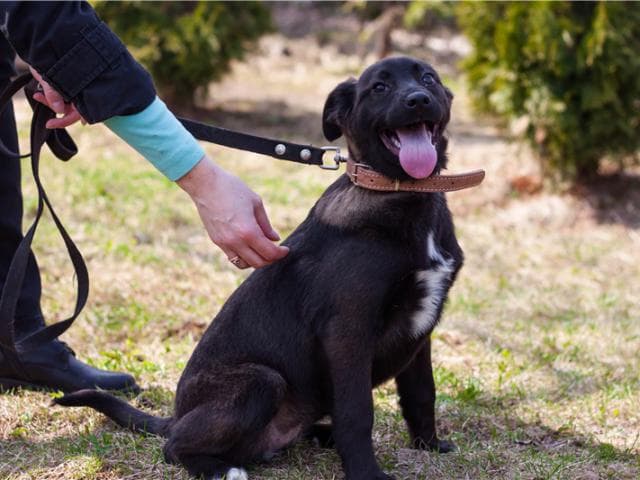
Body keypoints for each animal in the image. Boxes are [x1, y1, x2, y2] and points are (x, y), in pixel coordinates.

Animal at [56, 57, 460, 480]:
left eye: (428, 78)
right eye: (379, 88)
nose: (418, 99)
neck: (402, 195)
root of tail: (176, 415)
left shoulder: (420, 333)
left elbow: (421, 394)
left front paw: (429, 446)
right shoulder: (348, 330)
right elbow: (357, 412)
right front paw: (366, 472)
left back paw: (319, 436)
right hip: (260, 380)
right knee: (174, 446)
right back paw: (222, 468)